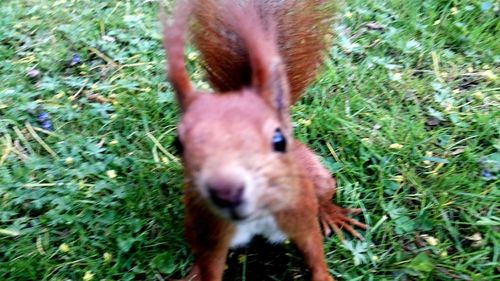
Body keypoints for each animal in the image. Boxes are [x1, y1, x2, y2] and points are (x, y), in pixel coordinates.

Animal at [162, 0, 366, 280]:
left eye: (278, 140)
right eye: (177, 144)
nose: (226, 192)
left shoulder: (300, 216)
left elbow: (314, 251)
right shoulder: (212, 232)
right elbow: (210, 264)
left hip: (318, 178)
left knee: (324, 194)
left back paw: (333, 215)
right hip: (192, 218)